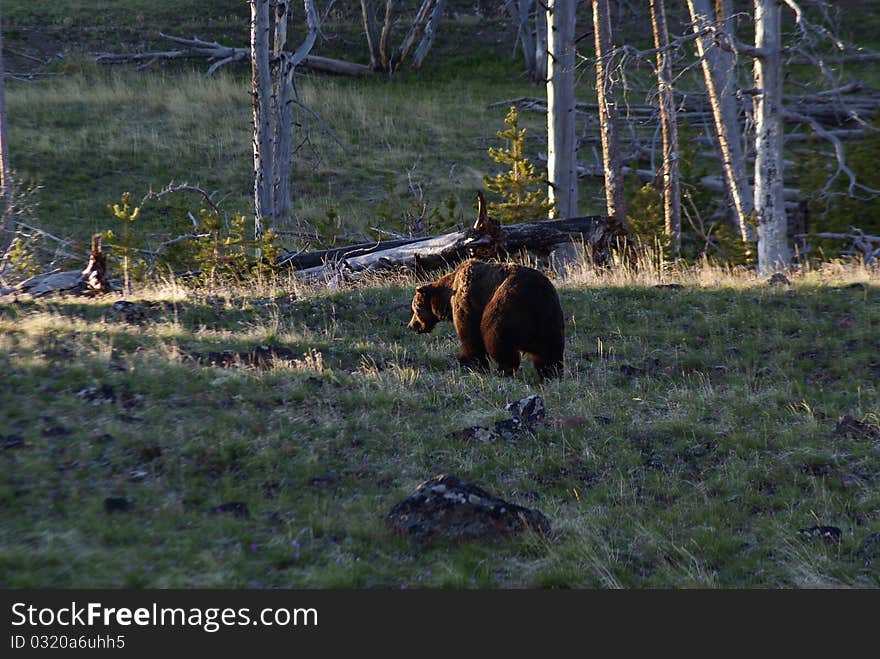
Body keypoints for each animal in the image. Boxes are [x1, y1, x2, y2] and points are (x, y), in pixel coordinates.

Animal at [408, 260, 564, 378]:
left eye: (415, 309)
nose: (411, 325)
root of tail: (537, 294)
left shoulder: (467, 303)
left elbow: (470, 337)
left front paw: (470, 363)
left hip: (506, 306)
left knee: (497, 339)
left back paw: (503, 370)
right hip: (551, 316)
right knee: (550, 351)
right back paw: (550, 373)